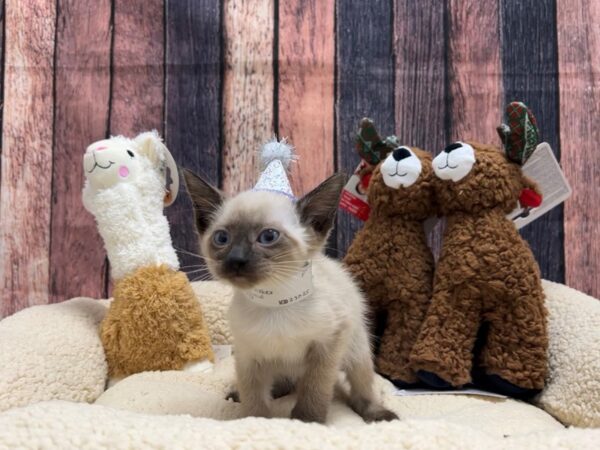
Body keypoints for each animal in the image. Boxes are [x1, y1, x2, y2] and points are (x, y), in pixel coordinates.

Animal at [183, 169, 398, 426]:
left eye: (268, 236)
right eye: (222, 238)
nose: (236, 260)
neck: (275, 301)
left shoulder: (327, 346)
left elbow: (314, 389)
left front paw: (307, 421)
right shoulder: (248, 355)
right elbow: (254, 397)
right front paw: (256, 420)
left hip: (357, 352)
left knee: (361, 389)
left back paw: (378, 414)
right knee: (281, 383)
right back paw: (244, 393)